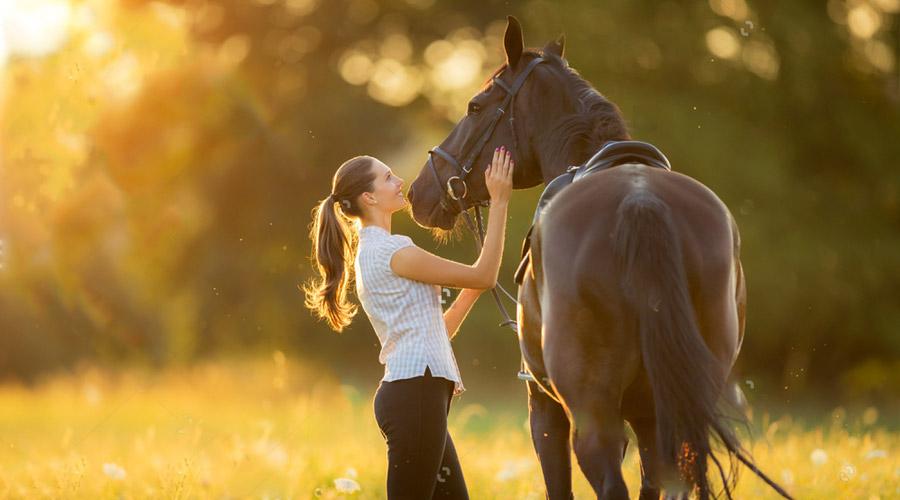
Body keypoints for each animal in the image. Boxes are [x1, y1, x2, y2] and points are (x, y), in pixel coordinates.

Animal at [404, 15, 792, 500]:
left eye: (475, 106)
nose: (419, 191)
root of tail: (641, 201)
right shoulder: (648, 418)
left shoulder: (544, 408)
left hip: (592, 416)